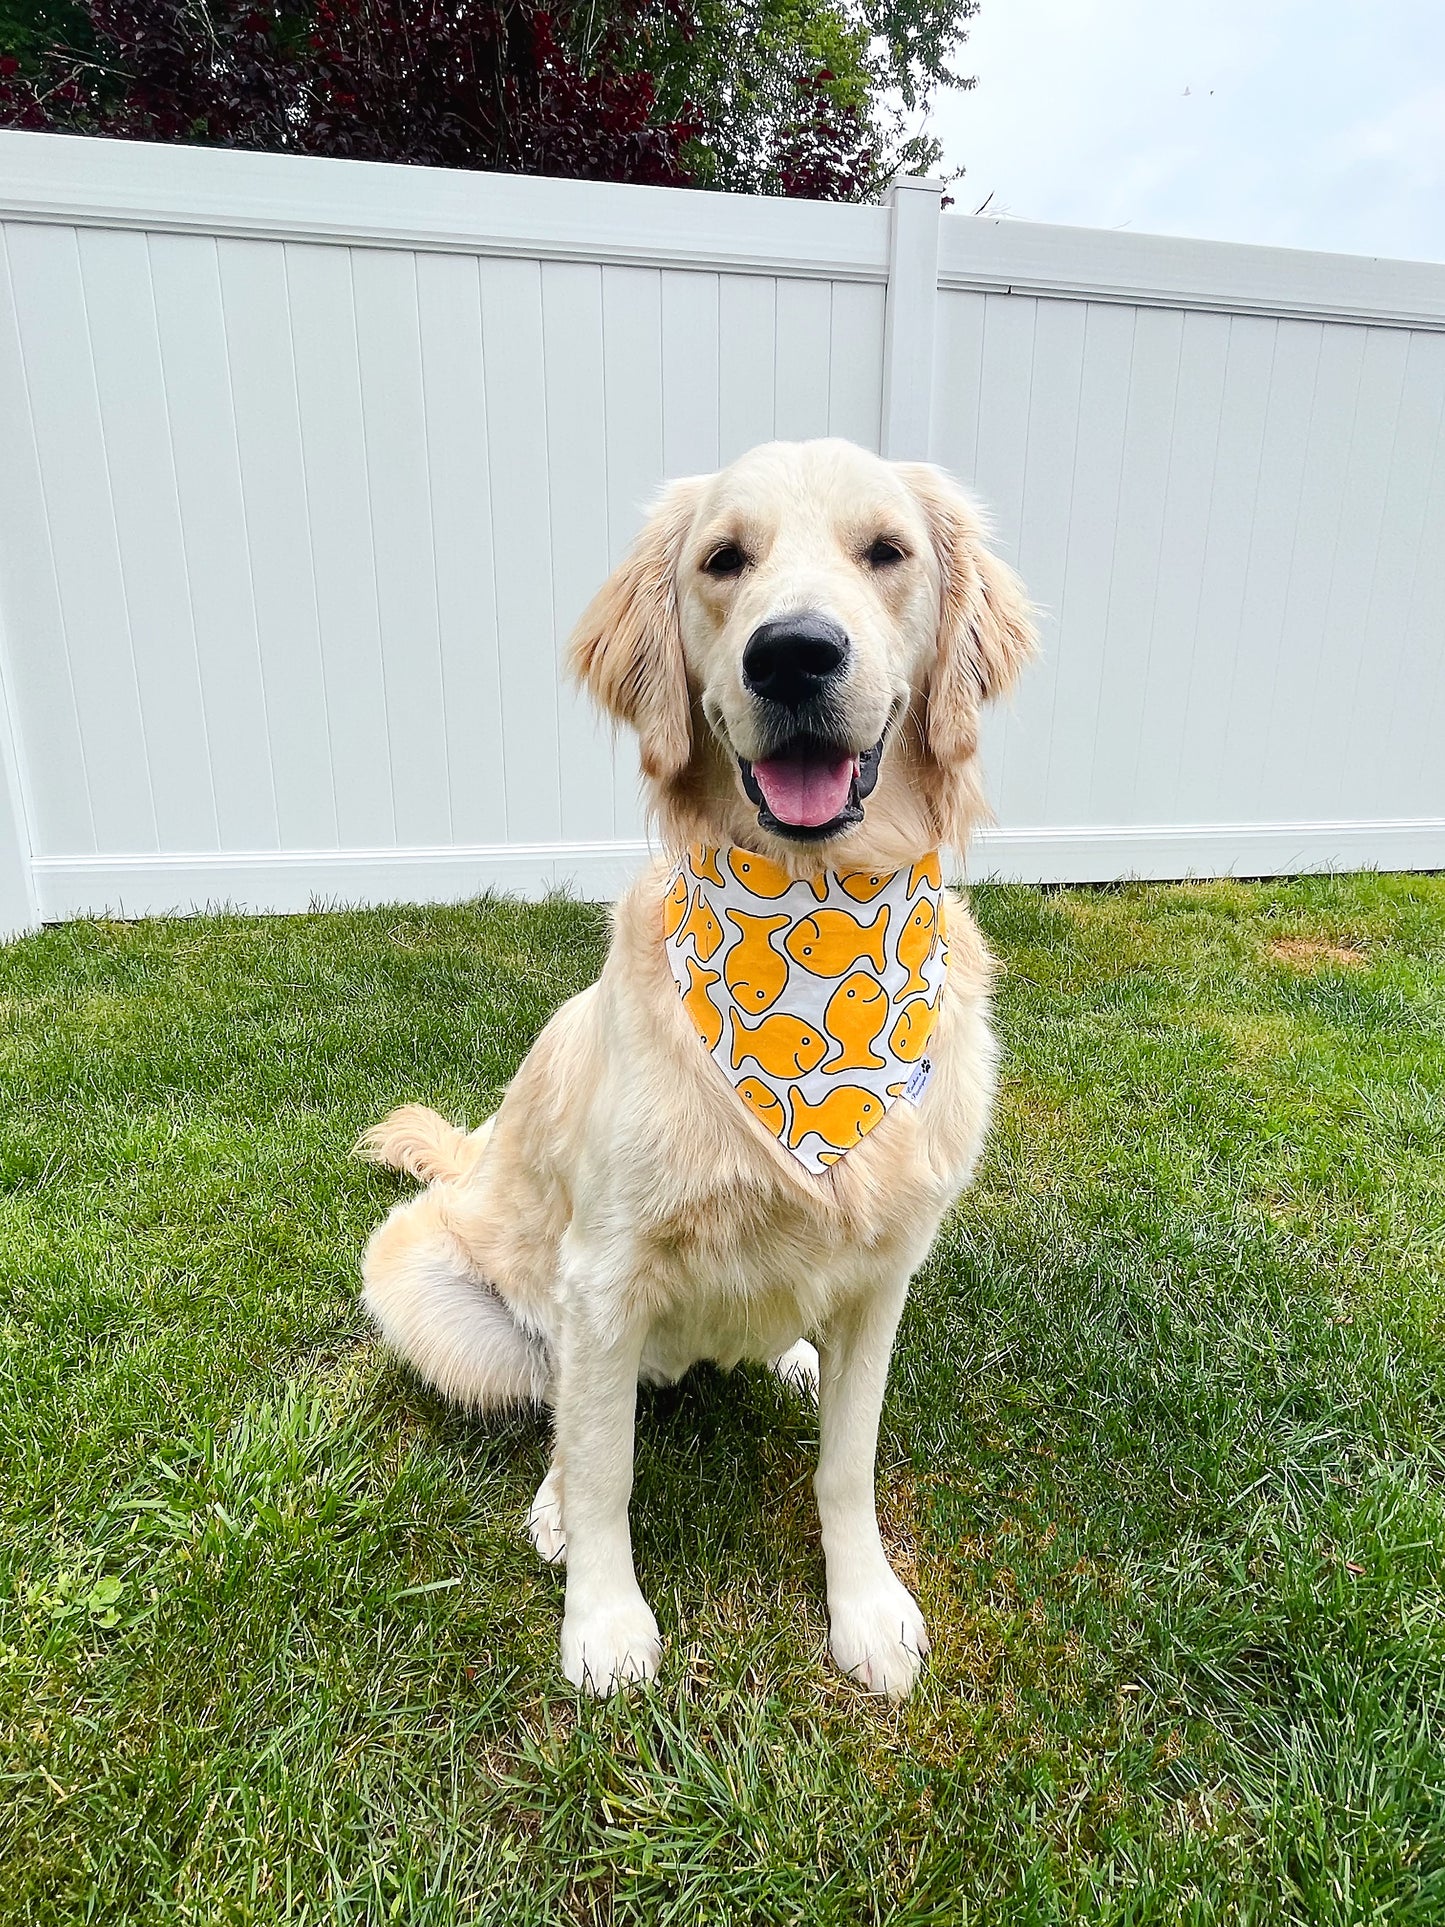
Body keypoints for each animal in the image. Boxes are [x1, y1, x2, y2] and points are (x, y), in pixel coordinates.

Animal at [362, 441, 1040, 1703]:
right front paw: (602, 1620)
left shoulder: (887, 1271)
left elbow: (846, 1467)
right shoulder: (604, 1271)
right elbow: (603, 1464)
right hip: (429, 1281)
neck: (814, 920)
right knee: (561, 1403)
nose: (792, 653)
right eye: (724, 559)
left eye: (886, 551)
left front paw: (864, 1607)